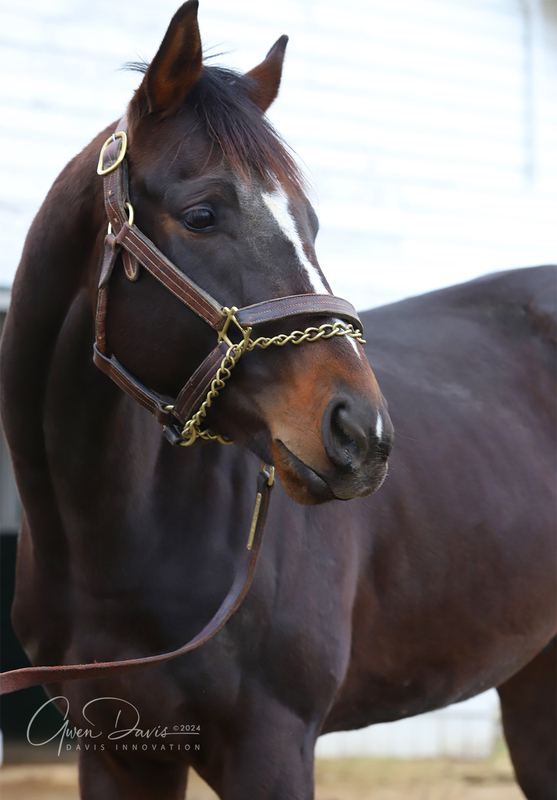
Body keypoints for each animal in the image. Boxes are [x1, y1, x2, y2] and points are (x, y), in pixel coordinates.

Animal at [0, 1, 552, 800]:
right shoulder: (114, 751)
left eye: (312, 225)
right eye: (201, 214)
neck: (110, 542)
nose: (362, 432)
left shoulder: (272, 744)